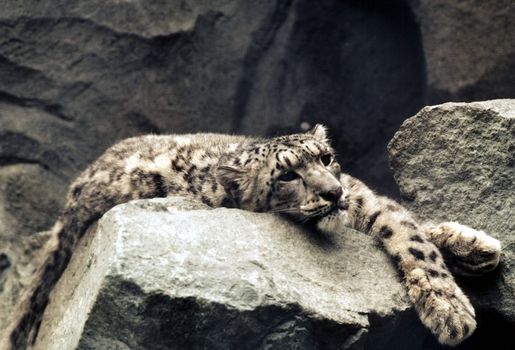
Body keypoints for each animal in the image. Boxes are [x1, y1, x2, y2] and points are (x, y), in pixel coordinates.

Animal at [0, 124, 500, 348]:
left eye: (326, 158)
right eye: (288, 175)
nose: (334, 193)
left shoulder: (366, 198)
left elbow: (411, 232)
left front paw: (468, 254)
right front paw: (454, 315)